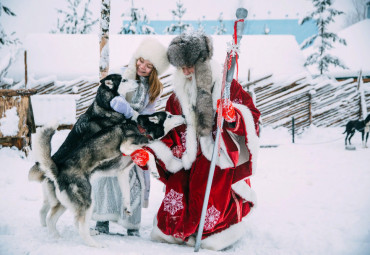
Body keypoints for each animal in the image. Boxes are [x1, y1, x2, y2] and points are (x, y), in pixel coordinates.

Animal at [33, 112, 185, 247]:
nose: (183, 115)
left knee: (52, 218)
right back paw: (94, 244)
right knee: (79, 225)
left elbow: (127, 192)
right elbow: (150, 153)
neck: (141, 127)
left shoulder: (123, 172)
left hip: (63, 204)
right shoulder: (126, 146)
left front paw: (128, 207)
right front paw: (154, 170)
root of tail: (58, 171)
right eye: (169, 115)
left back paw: (57, 237)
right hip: (86, 202)